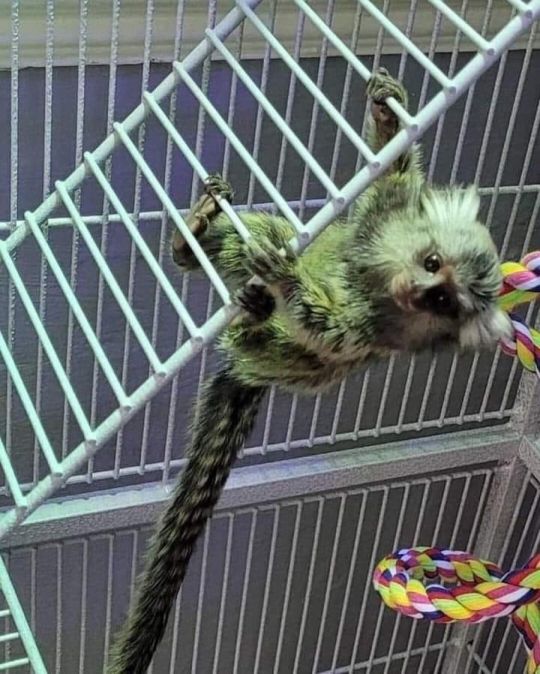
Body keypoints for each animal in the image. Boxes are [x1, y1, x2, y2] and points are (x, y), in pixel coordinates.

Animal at [107, 68, 511, 673]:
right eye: (432, 264)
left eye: (443, 302)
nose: (418, 291)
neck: (376, 284)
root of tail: (249, 373)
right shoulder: (379, 222)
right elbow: (388, 181)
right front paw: (388, 113)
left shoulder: (361, 332)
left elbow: (324, 332)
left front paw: (286, 280)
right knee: (252, 236)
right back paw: (192, 238)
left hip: (281, 365)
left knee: (295, 348)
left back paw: (253, 319)